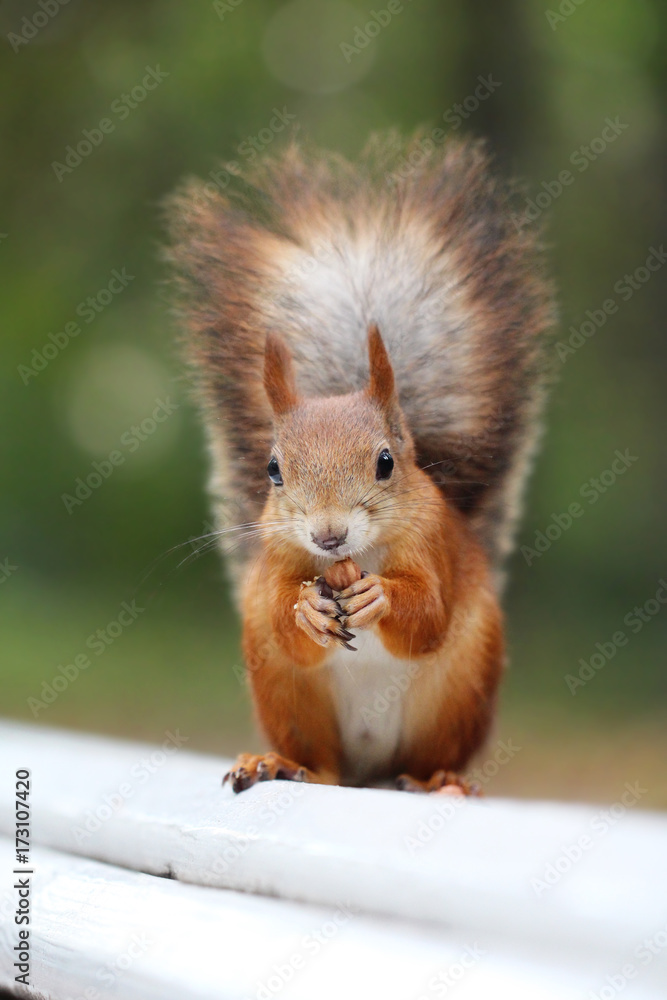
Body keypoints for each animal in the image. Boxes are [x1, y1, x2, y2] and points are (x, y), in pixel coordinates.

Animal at [164, 132, 555, 795]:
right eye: (273, 470)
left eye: (386, 462)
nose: (328, 534)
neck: (354, 557)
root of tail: (368, 770)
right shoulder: (279, 557)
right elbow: (285, 618)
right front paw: (306, 608)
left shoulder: (432, 543)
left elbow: (428, 616)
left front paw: (380, 598)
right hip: (287, 694)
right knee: (320, 763)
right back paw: (278, 763)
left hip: (459, 692)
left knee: (426, 757)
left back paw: (439, 780)